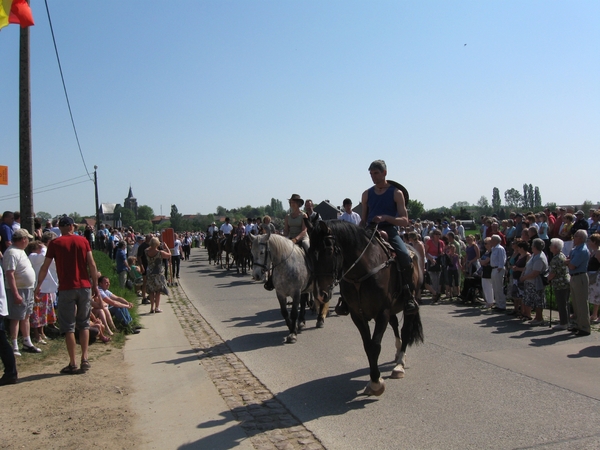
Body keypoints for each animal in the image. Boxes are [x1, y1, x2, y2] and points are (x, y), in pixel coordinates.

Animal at [308, 220, 424, 396]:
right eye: (309, 251)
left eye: (328, 250)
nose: (320, 294)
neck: (362, 273)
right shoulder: (358, 315)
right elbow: (367, 346)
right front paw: (374, 379)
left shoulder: (382, 313)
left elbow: (375, 346)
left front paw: (376, 383)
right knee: (395, 324)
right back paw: (398, 353)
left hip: (411, 303)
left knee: (405, 330)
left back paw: (399, 365)